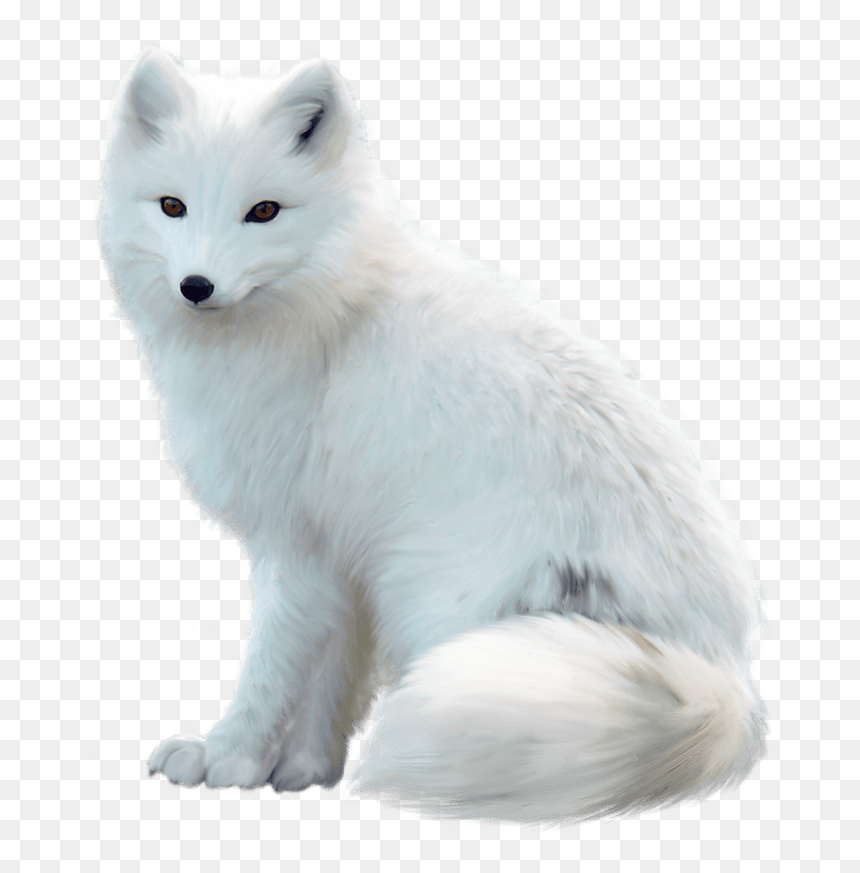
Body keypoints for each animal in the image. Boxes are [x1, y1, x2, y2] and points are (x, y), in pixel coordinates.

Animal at [99, 47, 766, 822]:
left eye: (263, 211)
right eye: (171, 205)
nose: (196, 286)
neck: (328, 313)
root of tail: (722, 671)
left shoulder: (295, 546)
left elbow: (270, 670)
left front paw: (228, 759)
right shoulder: (341, 556)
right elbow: (330, 678)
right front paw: (304, 771)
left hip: (442, 610)